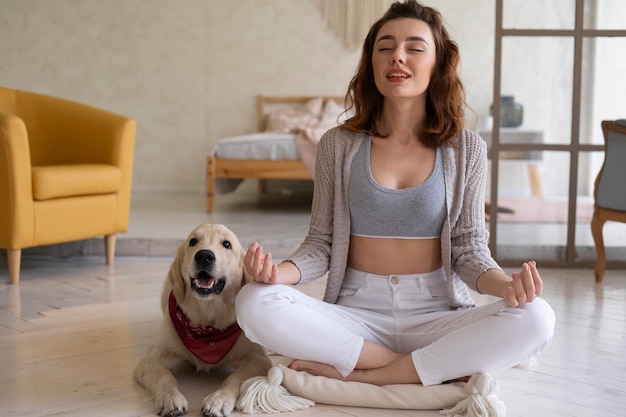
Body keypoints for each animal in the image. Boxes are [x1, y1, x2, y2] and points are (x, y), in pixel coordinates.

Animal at [134, 224, 270, 416]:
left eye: (227, 244)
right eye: (193, 241)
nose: (204, 256)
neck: (207, 321)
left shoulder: (259, 360)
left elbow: (234, 378)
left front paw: (219, 400)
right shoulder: (150, 359)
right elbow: (165, 376)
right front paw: (170, 398)